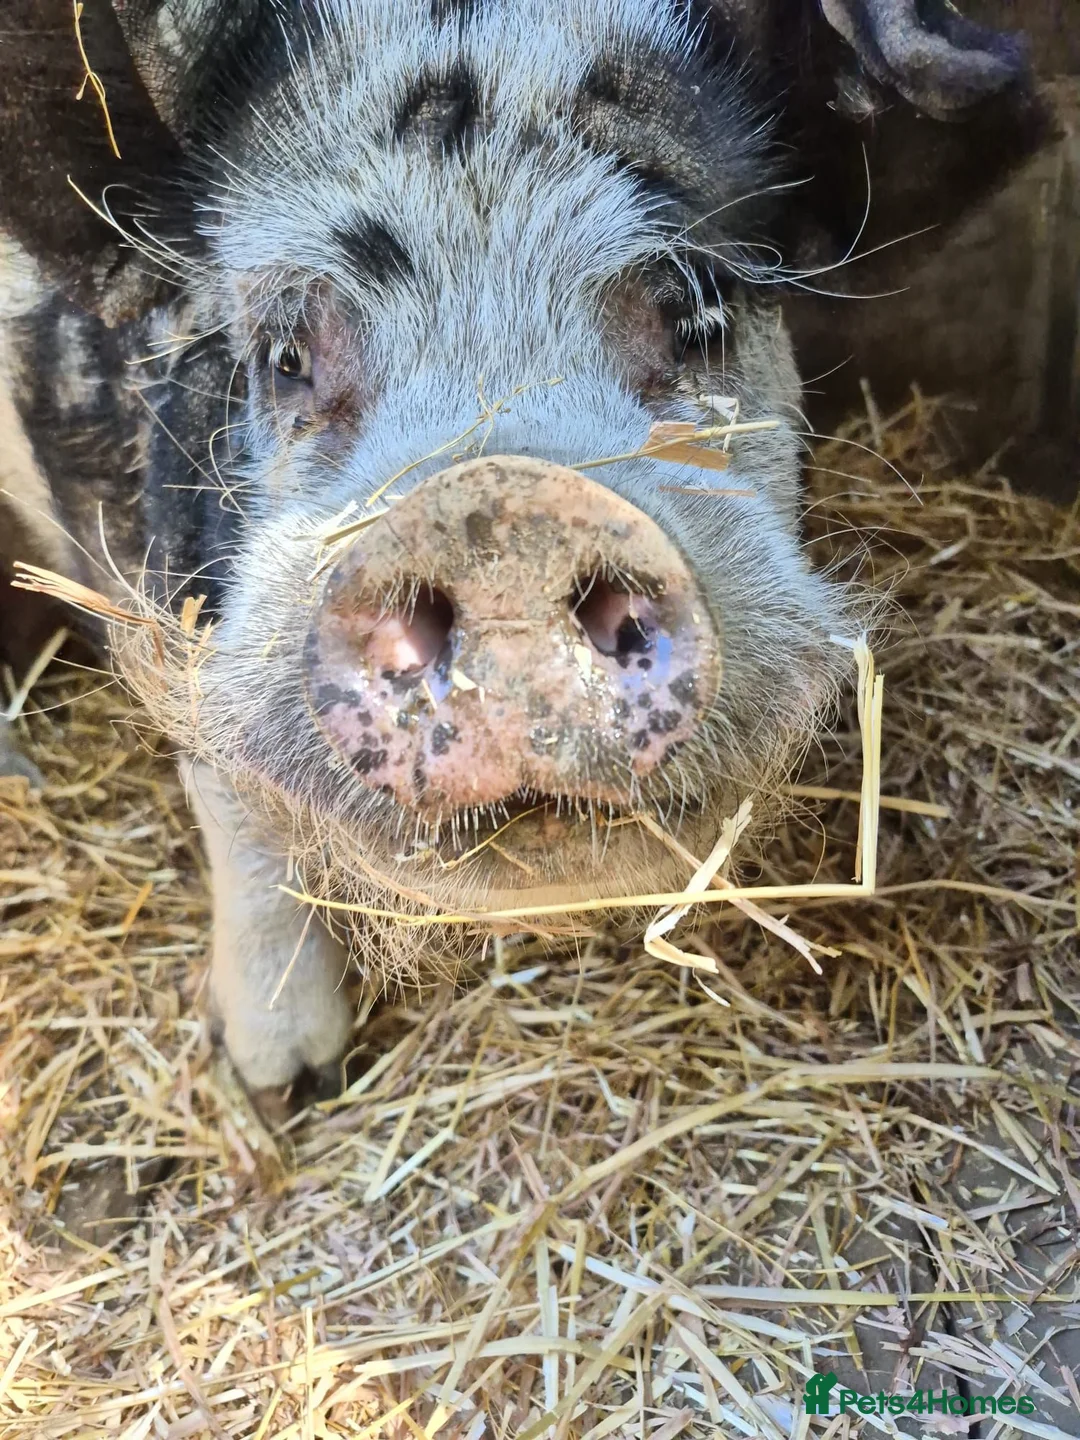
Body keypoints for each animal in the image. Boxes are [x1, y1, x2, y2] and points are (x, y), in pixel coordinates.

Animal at [0, 1, 1043, 1103]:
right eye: (287, 355)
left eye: (699, 313)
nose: (502, 513)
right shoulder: (152, 597)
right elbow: (237, 814)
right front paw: (286, 1084)